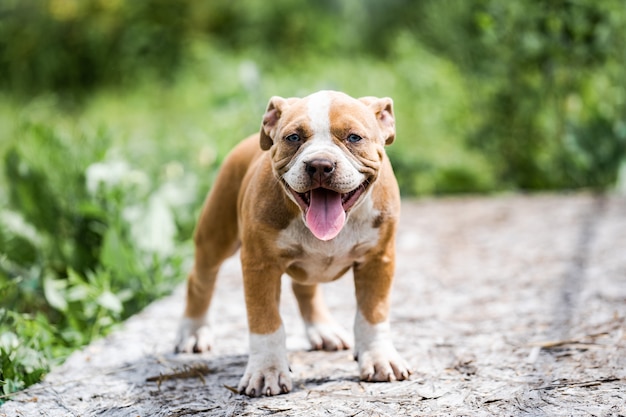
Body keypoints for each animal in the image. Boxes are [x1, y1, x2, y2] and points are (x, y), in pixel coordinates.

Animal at [174, 91, 410, 396]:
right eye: (293, 138)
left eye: (354, 137)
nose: (320, 164)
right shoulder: (260, 266)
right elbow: (266, 322)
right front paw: (267, 371)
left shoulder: (378, 260)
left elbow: (373, 314)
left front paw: (379, 357)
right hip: (215, 236)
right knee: (200, 280)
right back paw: (193, 331)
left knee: (304, 287)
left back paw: (323, 330)